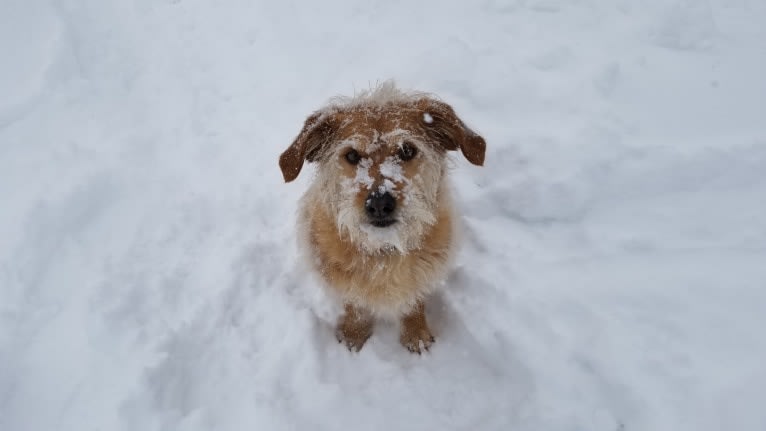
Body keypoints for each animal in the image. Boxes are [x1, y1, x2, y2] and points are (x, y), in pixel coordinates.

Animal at [280, 82, 486, 354]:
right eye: (352, 155)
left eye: (407, 150)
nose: (379, 204)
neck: (384, 250)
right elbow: (355, 303)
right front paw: (353, 334)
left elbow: (414, 298)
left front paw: (415, 332)